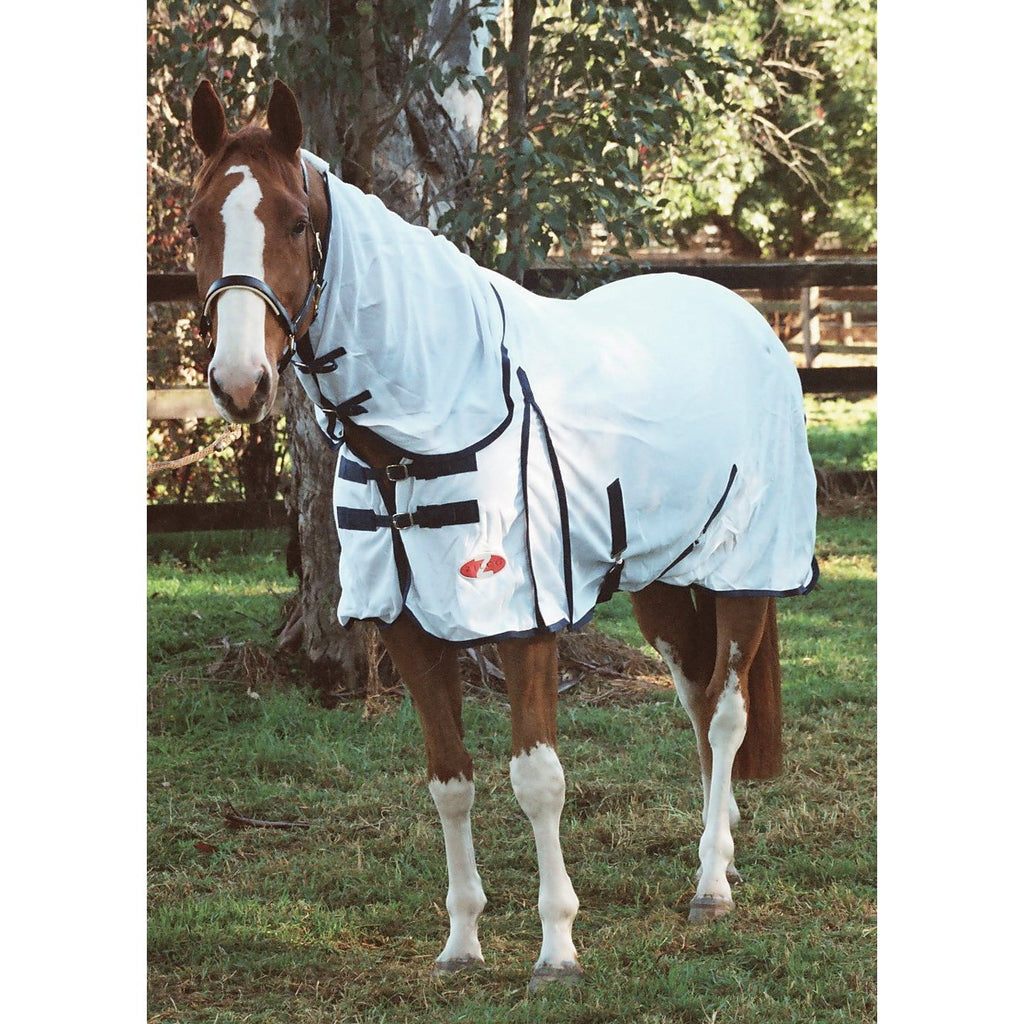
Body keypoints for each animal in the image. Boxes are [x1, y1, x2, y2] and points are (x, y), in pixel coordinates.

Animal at [185, 79, 818, 991]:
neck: (427, 416)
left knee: (727, 716)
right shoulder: (407, 627)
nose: (241, 384)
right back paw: (719, 857)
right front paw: (462, 943)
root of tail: (748, 320)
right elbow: (450, 781)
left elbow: (537, 780)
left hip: (745, 573)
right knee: (699, 710)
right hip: (663, 584)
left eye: (296, 223)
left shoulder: (525, 621)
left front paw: (557, 950)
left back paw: (711, 885)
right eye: (196, 223)